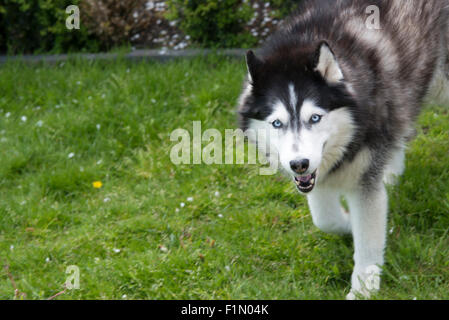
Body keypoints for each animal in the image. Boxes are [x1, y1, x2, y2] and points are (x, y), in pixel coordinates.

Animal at [236, 0, 446, 300]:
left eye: (315, 118)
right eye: (277, 123)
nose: (298, 163)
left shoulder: (362, 181)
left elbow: (367, 237)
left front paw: (364, 288)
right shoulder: (316, 175)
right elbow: (325, 219)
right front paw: (348, 224)